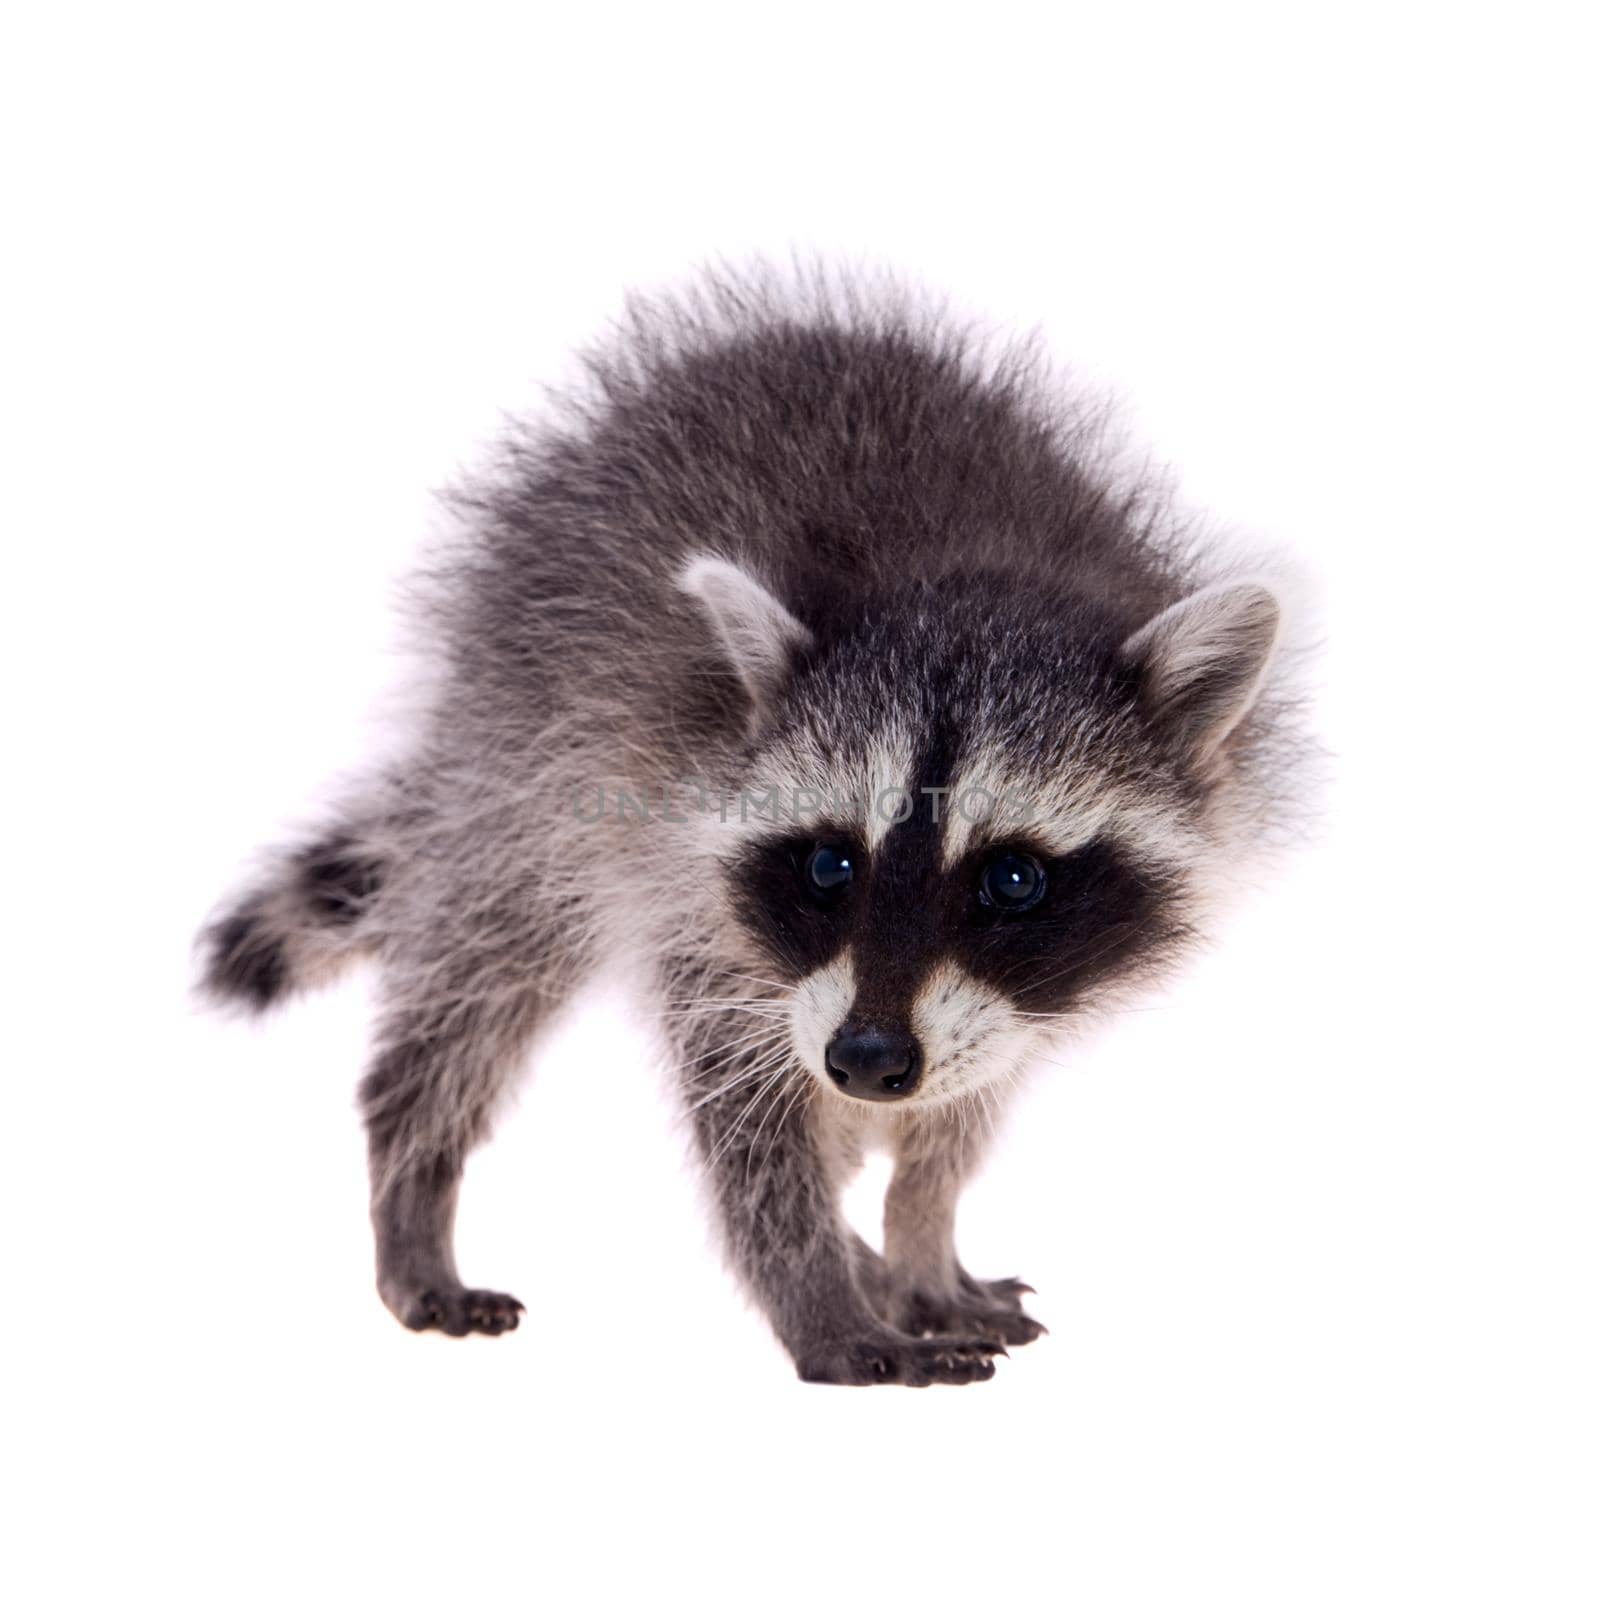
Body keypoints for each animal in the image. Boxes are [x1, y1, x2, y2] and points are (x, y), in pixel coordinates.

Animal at [200, 268, 1305, 1382]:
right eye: (828, 863)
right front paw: (819, 1296)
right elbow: (753, 1122)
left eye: (1012, 878)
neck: (961, 579)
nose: (868, 1060)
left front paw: (917, 1238)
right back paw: (415, 1175)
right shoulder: (687, 877)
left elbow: (952, 1118)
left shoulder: (1000, 1003)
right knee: (485, 973)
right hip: (525, 746)